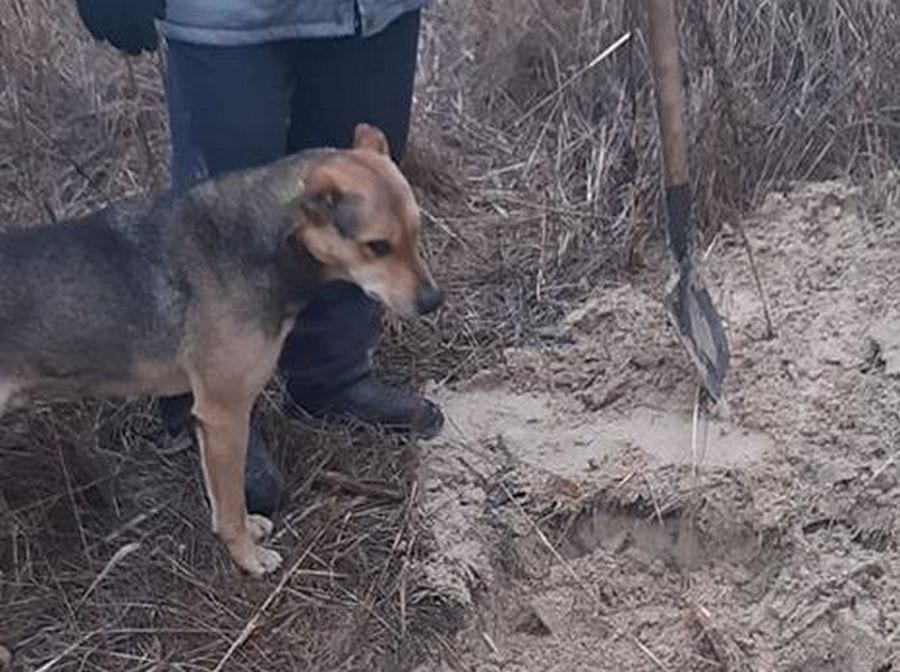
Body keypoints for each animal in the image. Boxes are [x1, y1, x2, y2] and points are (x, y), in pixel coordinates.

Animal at [0, 123, 442, 576]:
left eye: (416, 231)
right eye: (377, 246)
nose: (433, 302)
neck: (262, 240)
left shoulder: (214, 421)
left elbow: (225, 501)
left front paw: (248, 530)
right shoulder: (225, 414)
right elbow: (229, 506)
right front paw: (247, 557)